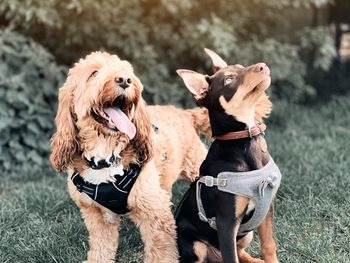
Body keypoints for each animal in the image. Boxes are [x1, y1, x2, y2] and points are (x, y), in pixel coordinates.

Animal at [49, 52, 208, 263]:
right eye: (94, 73)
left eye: (126, 71)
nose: (124, 80)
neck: (106, 156)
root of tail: (183, 113)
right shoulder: (97, 216)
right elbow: (101, 250)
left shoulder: (155, 214)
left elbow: (162, 252)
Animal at [175, 50, 282, 263]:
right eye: (228, 80)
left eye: (241, 66)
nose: (263, 65)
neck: (244, 140)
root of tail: (214, 256)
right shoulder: (227, 221)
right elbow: (231, 256)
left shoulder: (267, 208)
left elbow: (269, 245)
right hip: (194, 245)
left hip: (247, 234)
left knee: (240, 252)